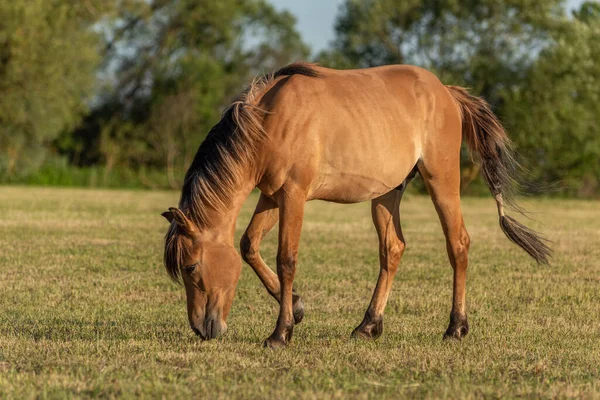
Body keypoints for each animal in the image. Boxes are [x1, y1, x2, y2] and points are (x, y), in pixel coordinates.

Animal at [162, 61, 552, 348]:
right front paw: (298, 308)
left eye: (191, 267)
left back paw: (455, 327)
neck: (269, 121)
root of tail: (446, 92)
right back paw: (368, 325)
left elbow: (286, 259)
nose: (201, 328)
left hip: (441, 181)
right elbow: (248, 246)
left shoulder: (293, 196)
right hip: (387, 193)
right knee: (392, 249)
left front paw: (281, 332)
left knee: (458, 245)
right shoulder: (271, 195)